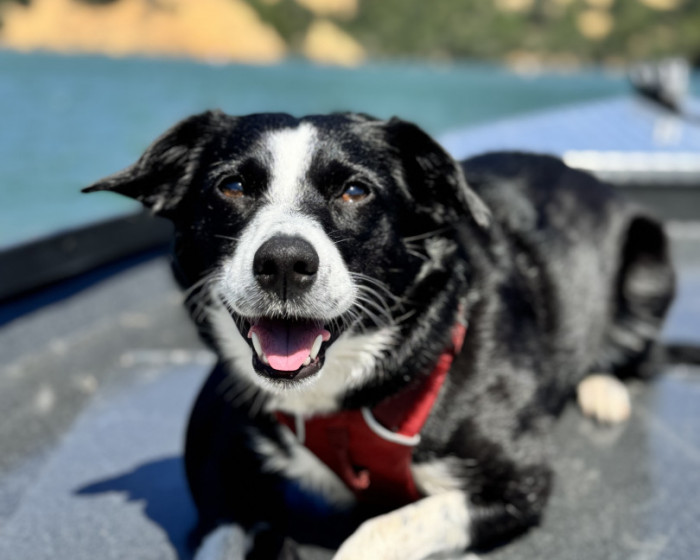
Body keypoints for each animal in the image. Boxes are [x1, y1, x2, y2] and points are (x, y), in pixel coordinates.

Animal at [84, 110, 675, 559]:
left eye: (354, 191)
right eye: (231, 186)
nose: (283, 263)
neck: (339, 396)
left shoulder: (517, 483)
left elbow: (383, 528)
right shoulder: (220, 479)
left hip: (649, 263)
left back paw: (602, 388)